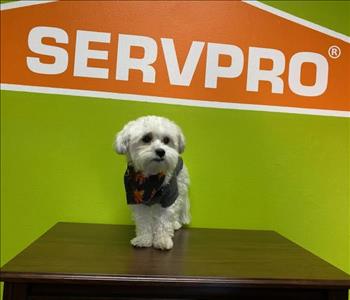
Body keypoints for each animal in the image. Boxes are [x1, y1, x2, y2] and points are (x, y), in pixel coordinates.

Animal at [115, 116, 190, 250]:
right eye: (146, 138)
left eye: (166, 140)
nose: (161, 151)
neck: (150, 180)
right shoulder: (136, 199)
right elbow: (143, 221)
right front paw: (144, 239)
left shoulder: (168, 198)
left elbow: (164, 220)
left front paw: (162, 240)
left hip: (180, 188)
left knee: (176, 208)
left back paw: (175, 224)